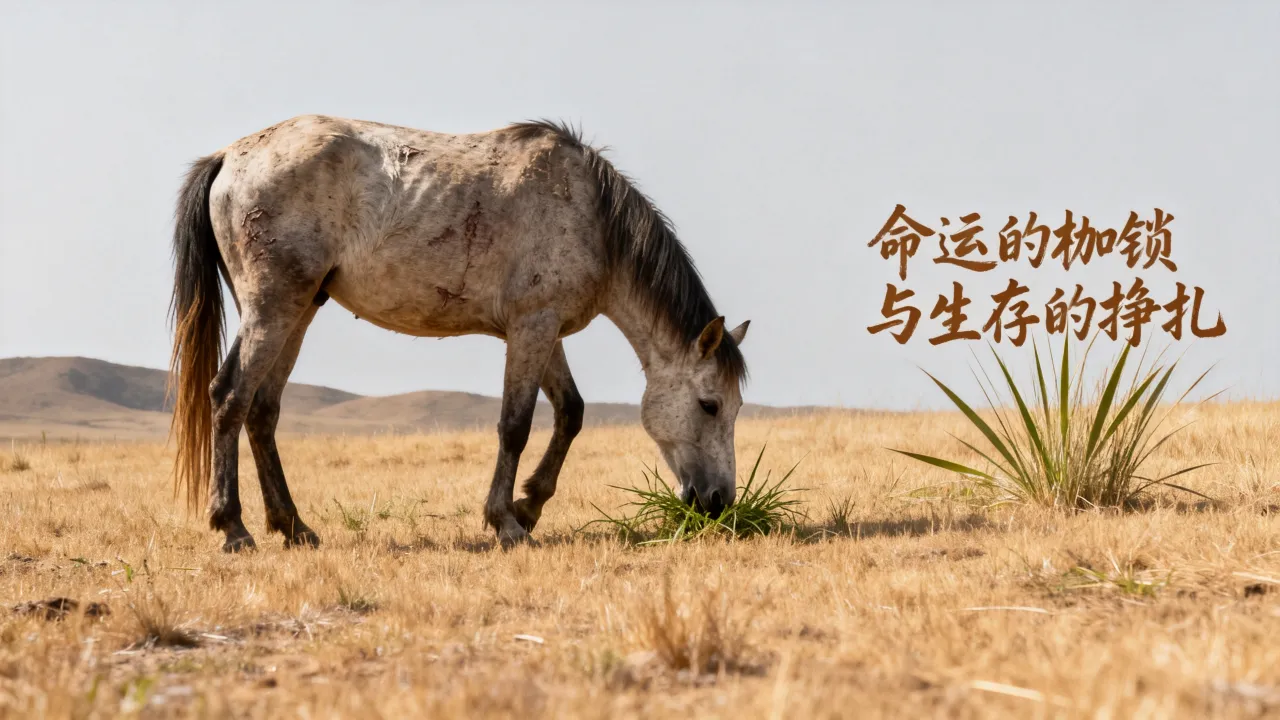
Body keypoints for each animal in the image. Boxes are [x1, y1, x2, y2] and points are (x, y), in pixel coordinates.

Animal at [168, 114, 750, 551]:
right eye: (710, 405)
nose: (718, 503)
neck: (590, 214)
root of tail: (229, 156)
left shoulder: (544, 329)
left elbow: (570, 413)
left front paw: (529, 506)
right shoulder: (532, 327)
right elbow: (515, 425)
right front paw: (507, 523)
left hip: (297, 309)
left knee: (262, 410)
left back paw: (293, 527)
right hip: (273, 307)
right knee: (230, 397)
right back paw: (234, 528)